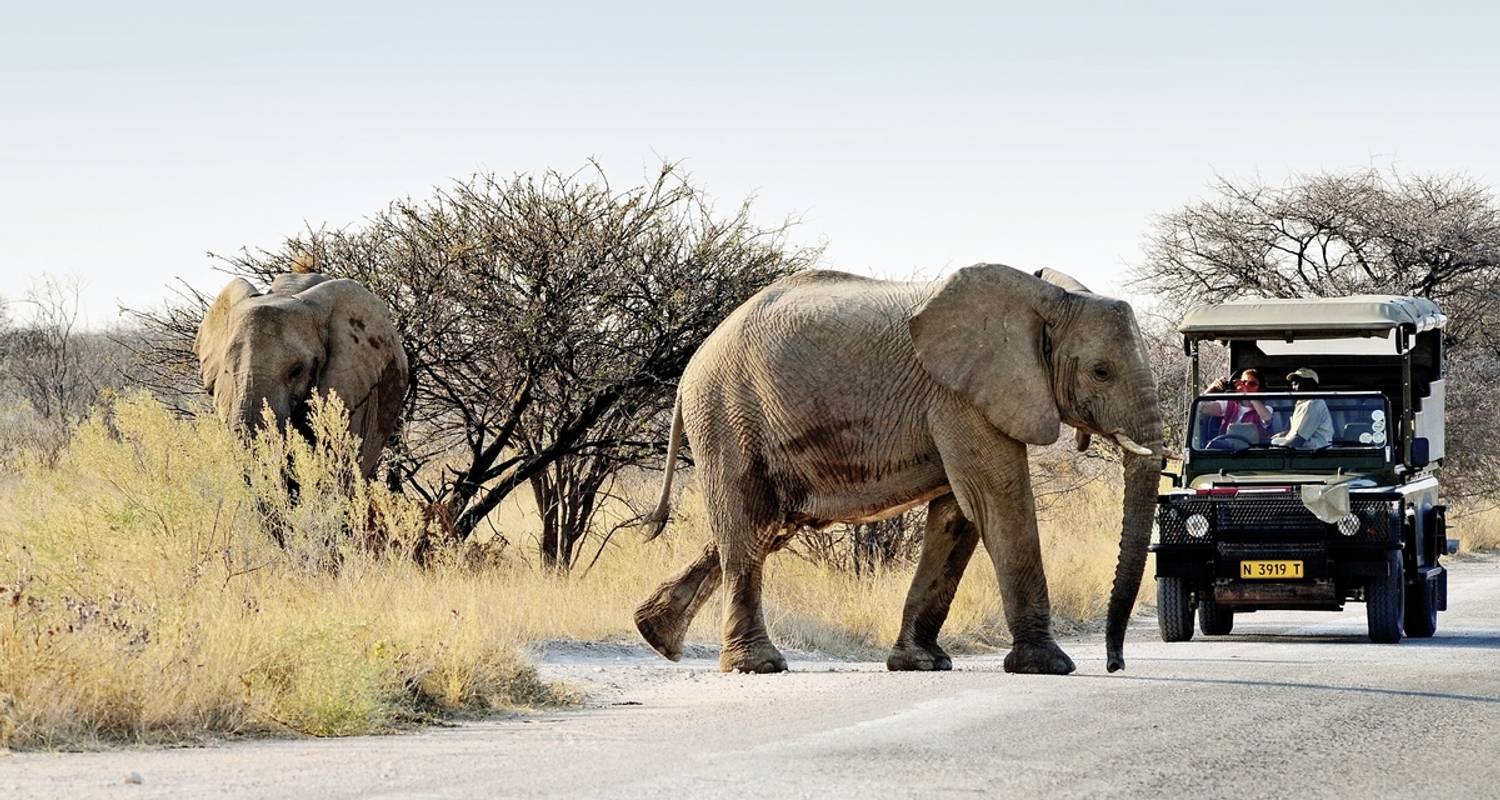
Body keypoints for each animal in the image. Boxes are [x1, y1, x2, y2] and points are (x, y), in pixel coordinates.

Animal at [630, 264, 1158, 672]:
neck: (1045, 297)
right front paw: (1049, 665)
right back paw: (757, 665)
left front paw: (921, 663)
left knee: (761, 528)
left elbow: (958, 515)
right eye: (1101, 371)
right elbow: (998, 501)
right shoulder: (960, 395)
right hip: (727, 414)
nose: (1115, 664)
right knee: (746, 527)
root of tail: (690, 370)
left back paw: (656, 636)